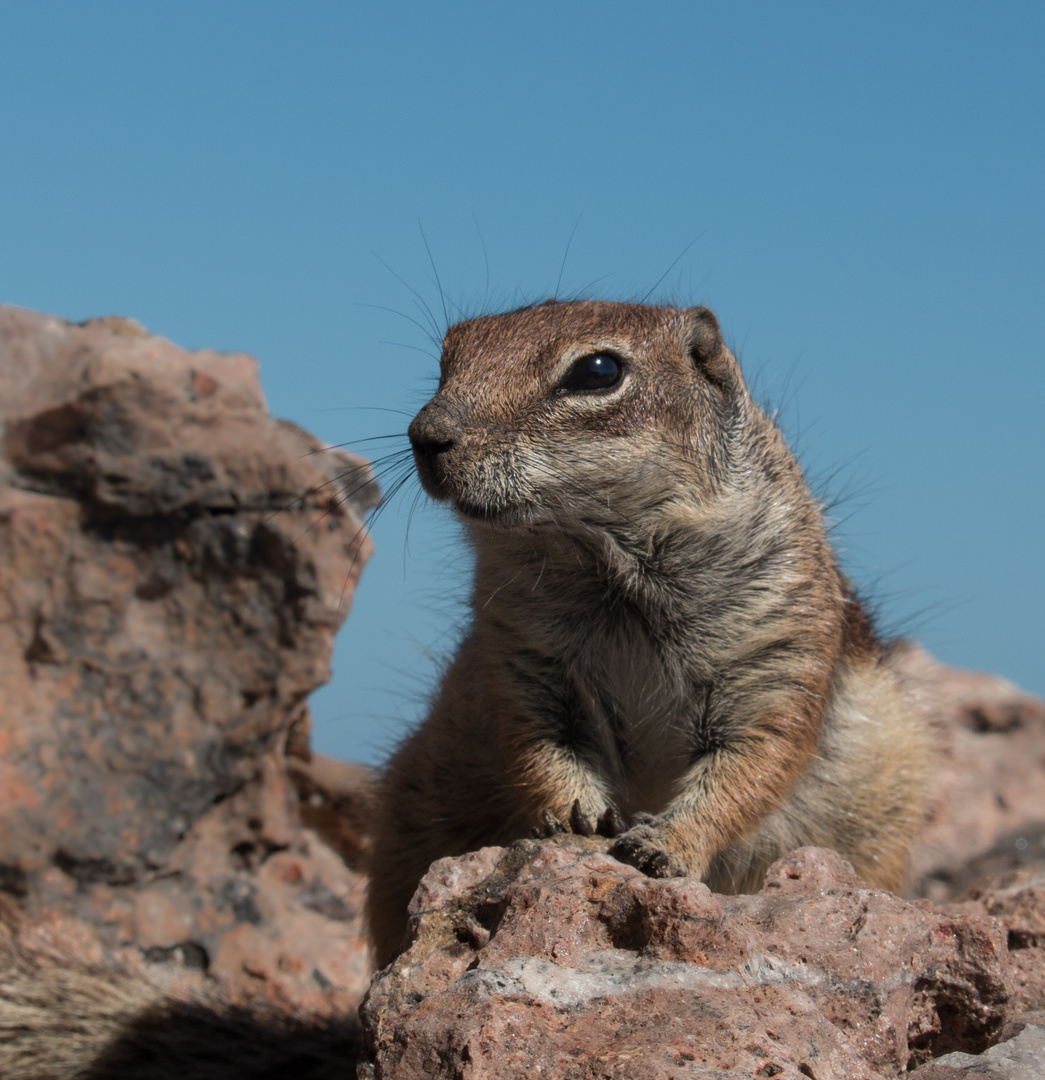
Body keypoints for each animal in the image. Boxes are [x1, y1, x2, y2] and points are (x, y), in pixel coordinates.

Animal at [364, 302, 924, 963]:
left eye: (598, 370)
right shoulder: (521, 659)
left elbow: (754, 765)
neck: (610, 568)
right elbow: (537, 749)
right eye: (447, 357)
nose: (424, 435)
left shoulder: (781, 651)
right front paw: (575, 818)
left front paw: (667, 844)